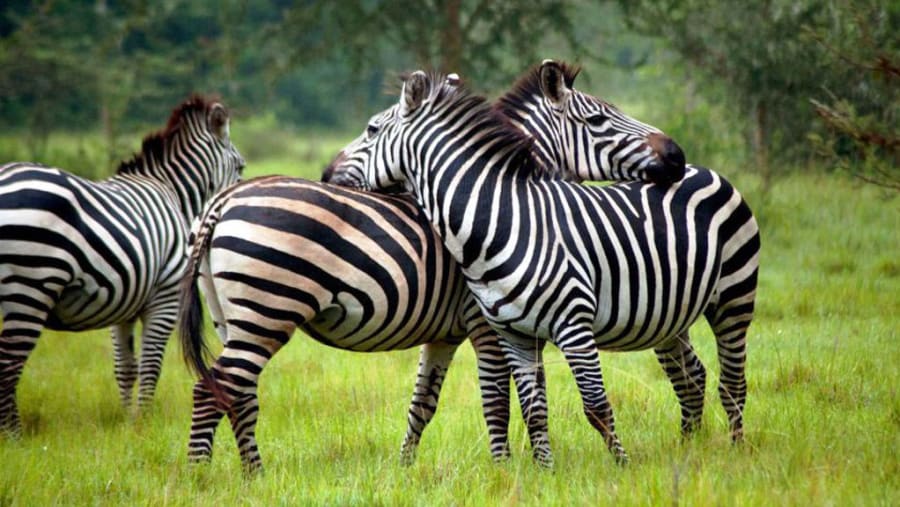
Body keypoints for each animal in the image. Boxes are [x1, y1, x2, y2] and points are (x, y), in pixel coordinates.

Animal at [0, 95, 245, 436]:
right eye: (241, 167)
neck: (173, 193)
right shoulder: (164, 297)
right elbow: (151, 365)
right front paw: (145, 421)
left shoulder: (125, 300)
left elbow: (126, 368)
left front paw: (130, 423)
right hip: (31, 286)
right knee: (8, 367)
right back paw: (14, 436)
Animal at [177, 74, 685, 474]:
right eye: (599, 120)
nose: (677, 156)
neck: (501, 203)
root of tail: (223, 199)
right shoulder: (487, 324)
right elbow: (500, 398)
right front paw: (505, 468)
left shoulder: (446, 334)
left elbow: (424, 403)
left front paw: (405, 468)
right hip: (268, 308)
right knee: (213, 390)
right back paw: (202, 477)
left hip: (234, 317)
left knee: (238, 393)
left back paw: (253, 475)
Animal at [330, 70, 760, 464]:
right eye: (598, 119)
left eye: (371, 129)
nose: (676, 156)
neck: (502, 216)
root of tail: (707, 171)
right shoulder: (503, 331)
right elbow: (520, 404)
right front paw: (532, 470)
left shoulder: (549, 326)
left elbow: (558, 404)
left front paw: (612, 468)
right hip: (671, 315)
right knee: (692, 376)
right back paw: (691, 448)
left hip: (732, 299)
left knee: (730, 381)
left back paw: (732, 450)